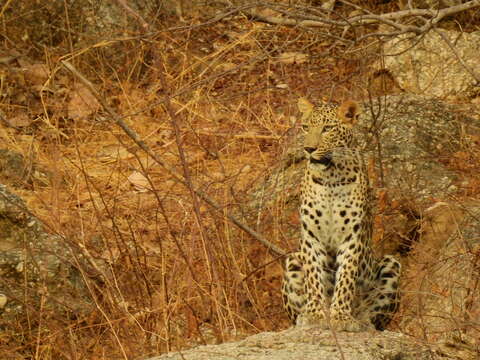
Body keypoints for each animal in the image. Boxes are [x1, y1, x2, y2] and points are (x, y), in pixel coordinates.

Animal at [282, 98, 402, 332]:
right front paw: (315, 314)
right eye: (305, 127)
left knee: (374, 315)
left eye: (327, 129)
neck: (331, 177)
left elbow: (346, 276)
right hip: (292, 260)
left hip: (391, 264)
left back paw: (362, 320)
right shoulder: (311, 236)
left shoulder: (352, 236)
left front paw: (341, 316)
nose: (309, 149)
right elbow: (314, 277)